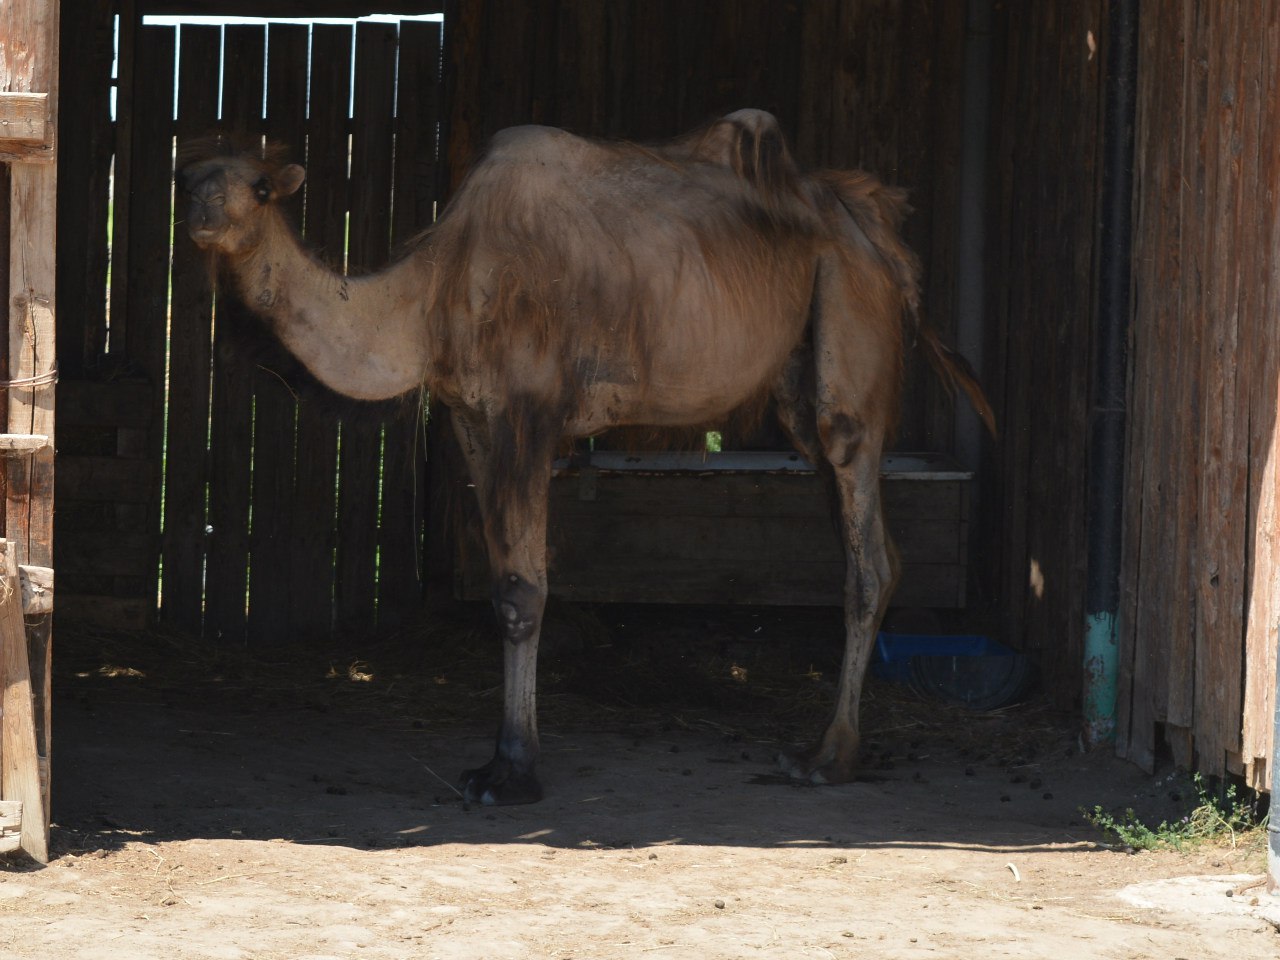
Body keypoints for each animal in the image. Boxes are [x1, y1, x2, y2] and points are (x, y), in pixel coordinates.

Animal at [177, 108, 998, 808]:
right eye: (191, 180)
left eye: (255, 188)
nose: (202, 220)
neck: (431, 297)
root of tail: (876, 231)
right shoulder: (472, 419)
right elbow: (506, 585)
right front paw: (501, 760)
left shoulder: (528, 413)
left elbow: (522, 592)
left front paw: (511, 771)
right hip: (799, 381)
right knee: (870, 541)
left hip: (849, 322)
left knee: (867, 548)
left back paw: (828, 756)